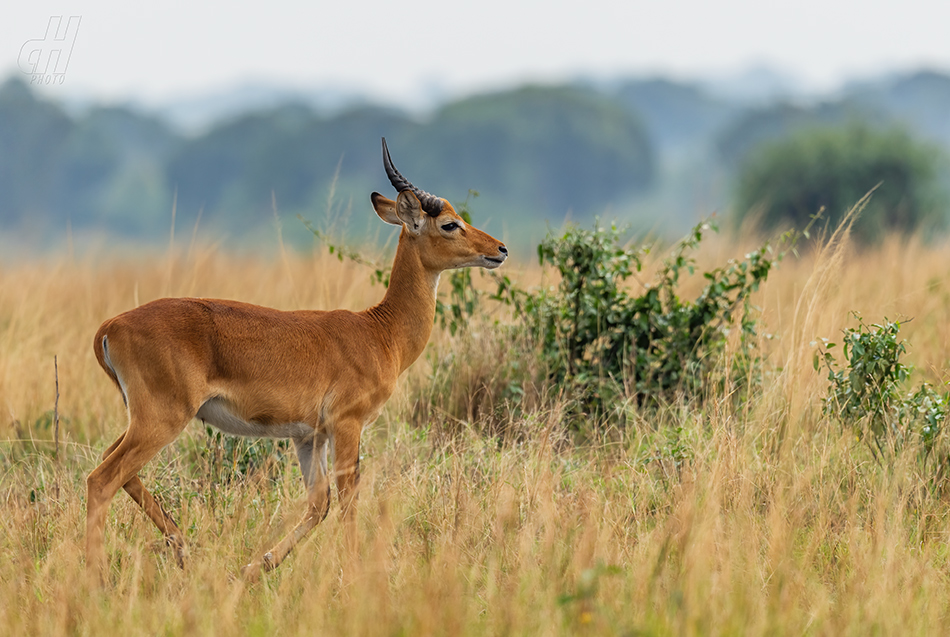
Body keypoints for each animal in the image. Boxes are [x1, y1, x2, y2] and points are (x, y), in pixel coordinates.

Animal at [85, 139, 510, 576]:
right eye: (449, 224)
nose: (500, 249)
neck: (380, 332)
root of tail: (110, 327)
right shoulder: (346, 423)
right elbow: (348, 498)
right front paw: (355, 572)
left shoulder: (308, 436)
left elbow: (319, 503)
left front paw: (258, 565)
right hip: (163, 418)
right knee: (102, 478)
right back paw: (98, 573)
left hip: (144, 418)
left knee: (114, 468)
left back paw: (184, 547)